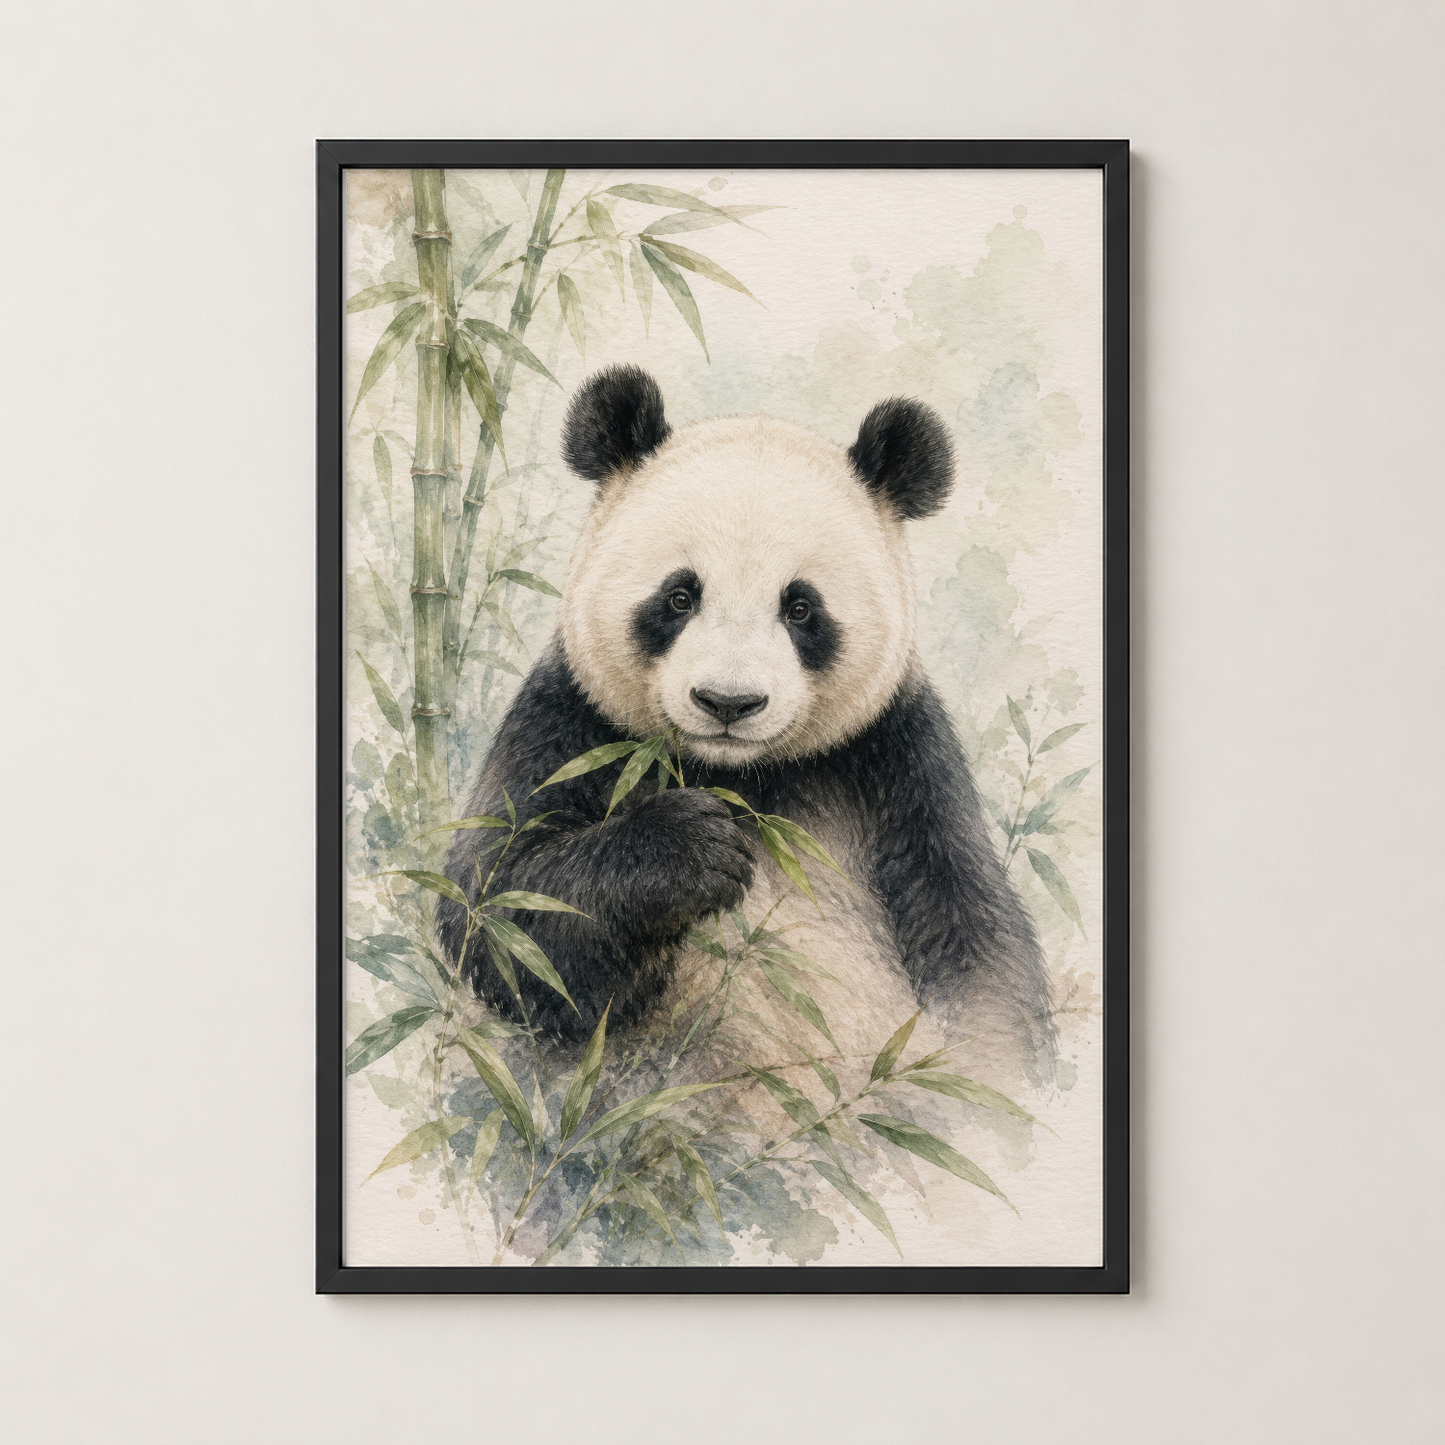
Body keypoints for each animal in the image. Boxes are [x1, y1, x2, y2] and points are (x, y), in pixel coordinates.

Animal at [438, 364, 1054, 1114]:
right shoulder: (571, 723)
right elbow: (502, 910)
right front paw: (691, 846)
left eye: (801, 607)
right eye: (679, 596)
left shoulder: (897, 757)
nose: (728, 702)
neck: (740, 773)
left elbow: (976, 947)